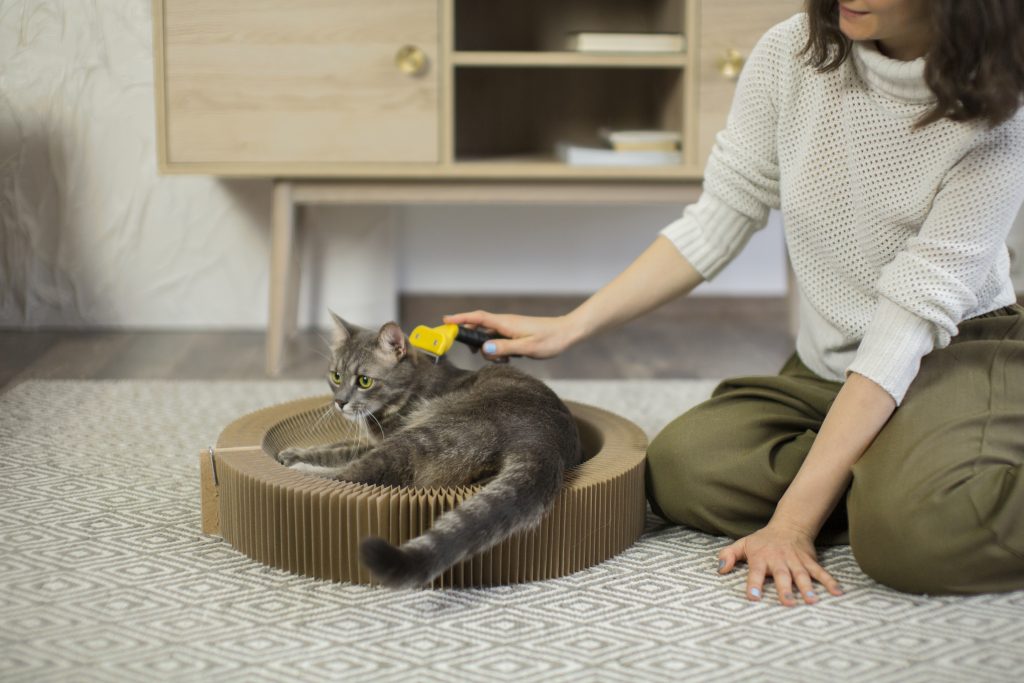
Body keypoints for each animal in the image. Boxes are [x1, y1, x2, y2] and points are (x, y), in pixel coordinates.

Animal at [274, 313, 585, 589]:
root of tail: (543, 440)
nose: (339, 402)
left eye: (364, 381)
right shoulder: (370, 439)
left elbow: (341, 454)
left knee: (357, 474)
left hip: (421, 435)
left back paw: (304, 471)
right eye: (336, 376)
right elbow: (335, 446)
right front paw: (294, 452)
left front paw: (297, 459)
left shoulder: (383, 439)